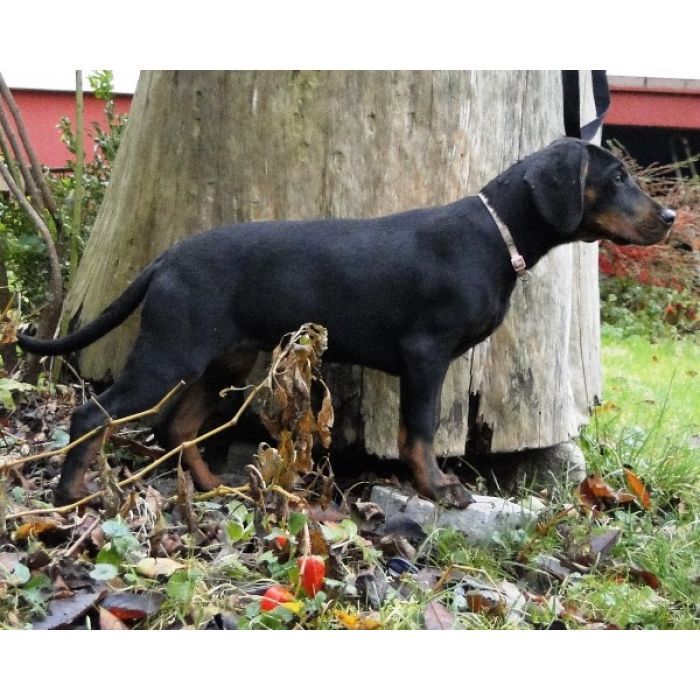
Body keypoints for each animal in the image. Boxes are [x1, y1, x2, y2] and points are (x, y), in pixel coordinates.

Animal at [17, 139, 672, 506]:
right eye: (616, 178)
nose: (668, 217)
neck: (495, 235)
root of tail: (166, 258)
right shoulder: (425, 355)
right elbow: (420, 430)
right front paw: (438, 488)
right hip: (170, 352)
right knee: (95, 414)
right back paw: (72, 493)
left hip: (224, 357)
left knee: (177, 427)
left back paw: (211, 487)